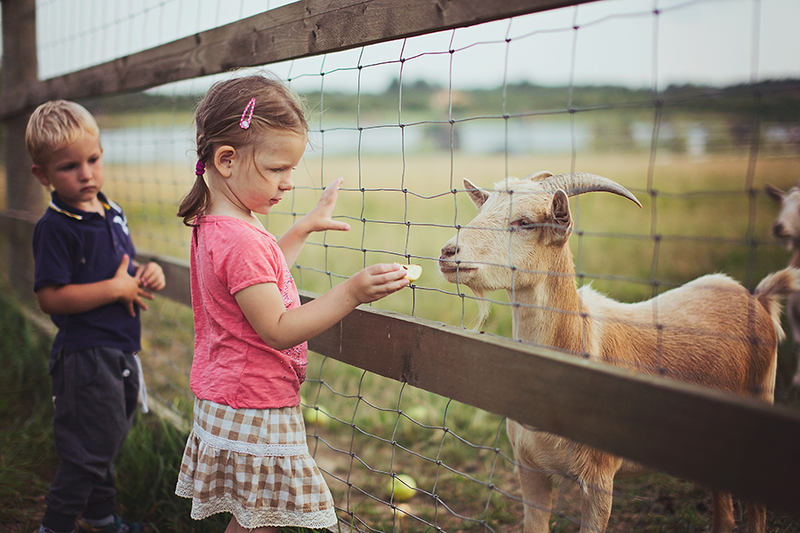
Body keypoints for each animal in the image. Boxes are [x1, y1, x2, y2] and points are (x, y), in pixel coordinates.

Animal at [438, 171, 800, 533]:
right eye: (483, 211)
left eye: (524, 222)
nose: (448, 252)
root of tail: (757, 298)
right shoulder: (530, 471)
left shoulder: (599, 480)